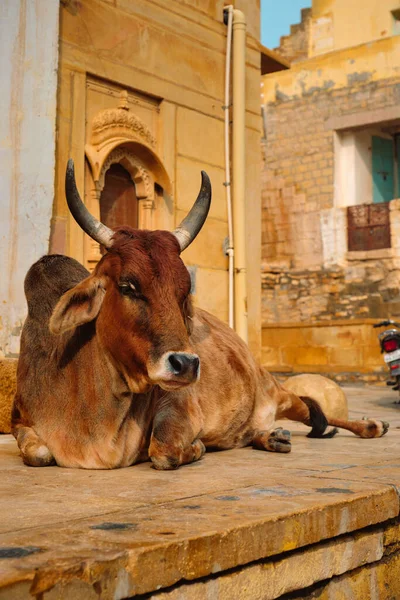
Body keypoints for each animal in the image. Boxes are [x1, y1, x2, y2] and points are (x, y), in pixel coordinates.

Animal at [10, 162, 390, 472]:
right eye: (127, 285)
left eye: (184, 291)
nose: (187, 364)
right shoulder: (20, 420)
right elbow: (38, 453)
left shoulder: (178, 403)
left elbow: (164, 451)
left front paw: (197, 448)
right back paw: (272, 437)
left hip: (278, 392)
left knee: (317, 413)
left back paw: (372, 426)